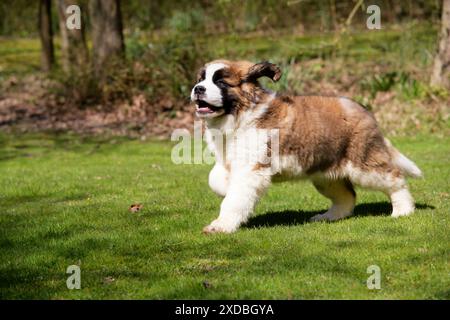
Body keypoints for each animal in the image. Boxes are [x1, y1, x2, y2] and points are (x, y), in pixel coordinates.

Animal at [191, 60, 422, 234]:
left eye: (221, 82)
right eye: (201, 79)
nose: (198, 89)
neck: (240, 114)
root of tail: (364, 110)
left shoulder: (250, 169)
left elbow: (234, 200)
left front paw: (221, 226)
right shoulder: (230, 160)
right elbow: (215, 179)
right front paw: (224, 187)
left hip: (363, 164)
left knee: (395, 178)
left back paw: (403, 210)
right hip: (325, 175)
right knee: (347, 196)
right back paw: (328, 217)